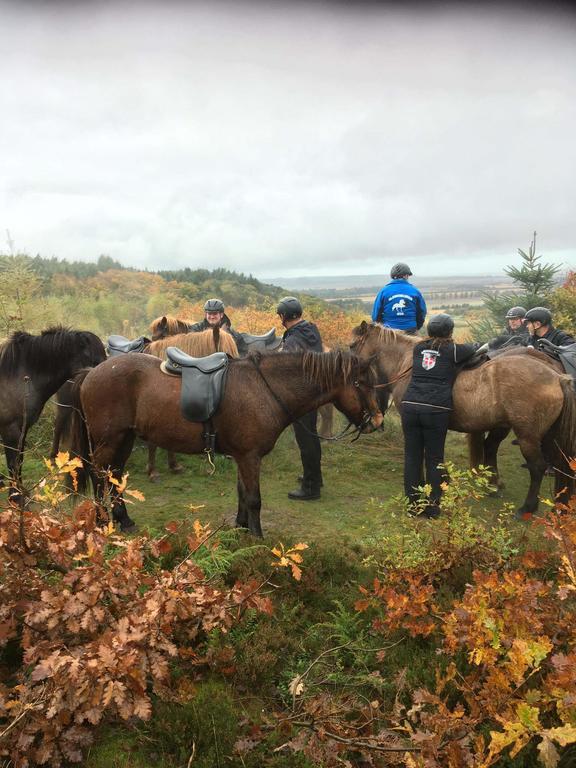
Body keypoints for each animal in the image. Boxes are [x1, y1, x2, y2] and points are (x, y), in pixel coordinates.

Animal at [0, 326, 107, 500]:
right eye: (96, 360)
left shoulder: (22, 430)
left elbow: (19, 460)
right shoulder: (10, 430)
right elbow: (13, 464)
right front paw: (15, 496)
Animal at [67, 348, 382, 536]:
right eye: (360, 383)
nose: (377, 421)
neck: (264, 388)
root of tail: (92, 371)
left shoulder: (243, 456)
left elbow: (242, 492)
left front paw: (241, 527)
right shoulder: (250, 456)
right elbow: (254, 498)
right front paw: (256, 537)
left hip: (125, 438)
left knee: (113, 475)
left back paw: (123, 519)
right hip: (109, 440)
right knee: (99, 475)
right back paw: (102, 520)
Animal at [348, 320, 576, 512]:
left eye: (351, 345)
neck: (409, 364)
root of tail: (557, 376)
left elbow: (424, 453)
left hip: (528, 436)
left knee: (537, 467)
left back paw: (527, 507)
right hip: (544, 435)